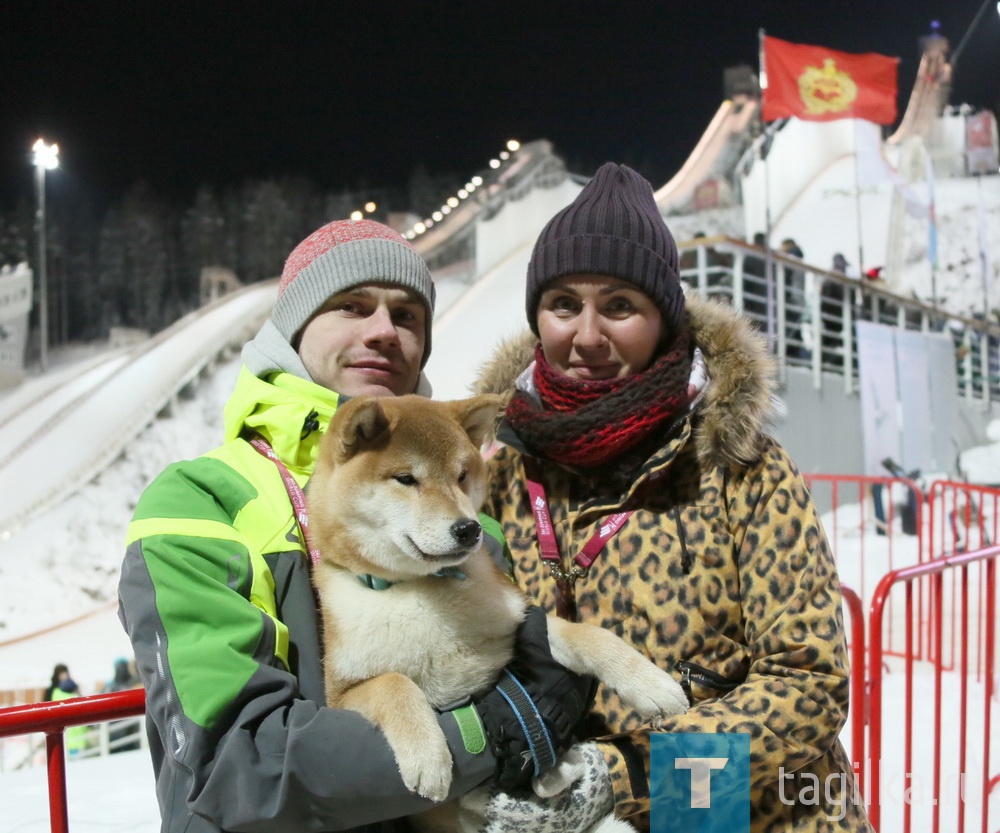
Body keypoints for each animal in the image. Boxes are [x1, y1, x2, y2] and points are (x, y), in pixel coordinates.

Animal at [312, 394, 688, 828]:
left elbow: (589, 634)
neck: (424, 588)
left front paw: (654, 685)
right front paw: (428, 754)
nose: (468, 529)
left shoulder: (523, 621)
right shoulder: (340, 694)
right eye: (405, 479)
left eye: (461, 476)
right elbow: (395, 684)